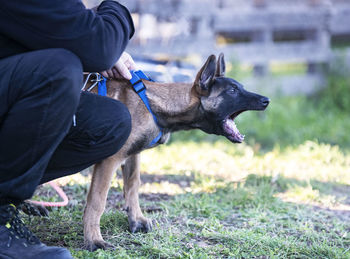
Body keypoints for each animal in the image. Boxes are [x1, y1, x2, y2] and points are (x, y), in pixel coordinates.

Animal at [82, 53, 270, 251]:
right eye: (232, 91)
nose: (266, 100)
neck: (152, 104)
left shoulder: (133, 155)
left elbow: (132, 186)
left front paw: (137, 220)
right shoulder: (109, 161)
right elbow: (97, 201)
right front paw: (93, 240)